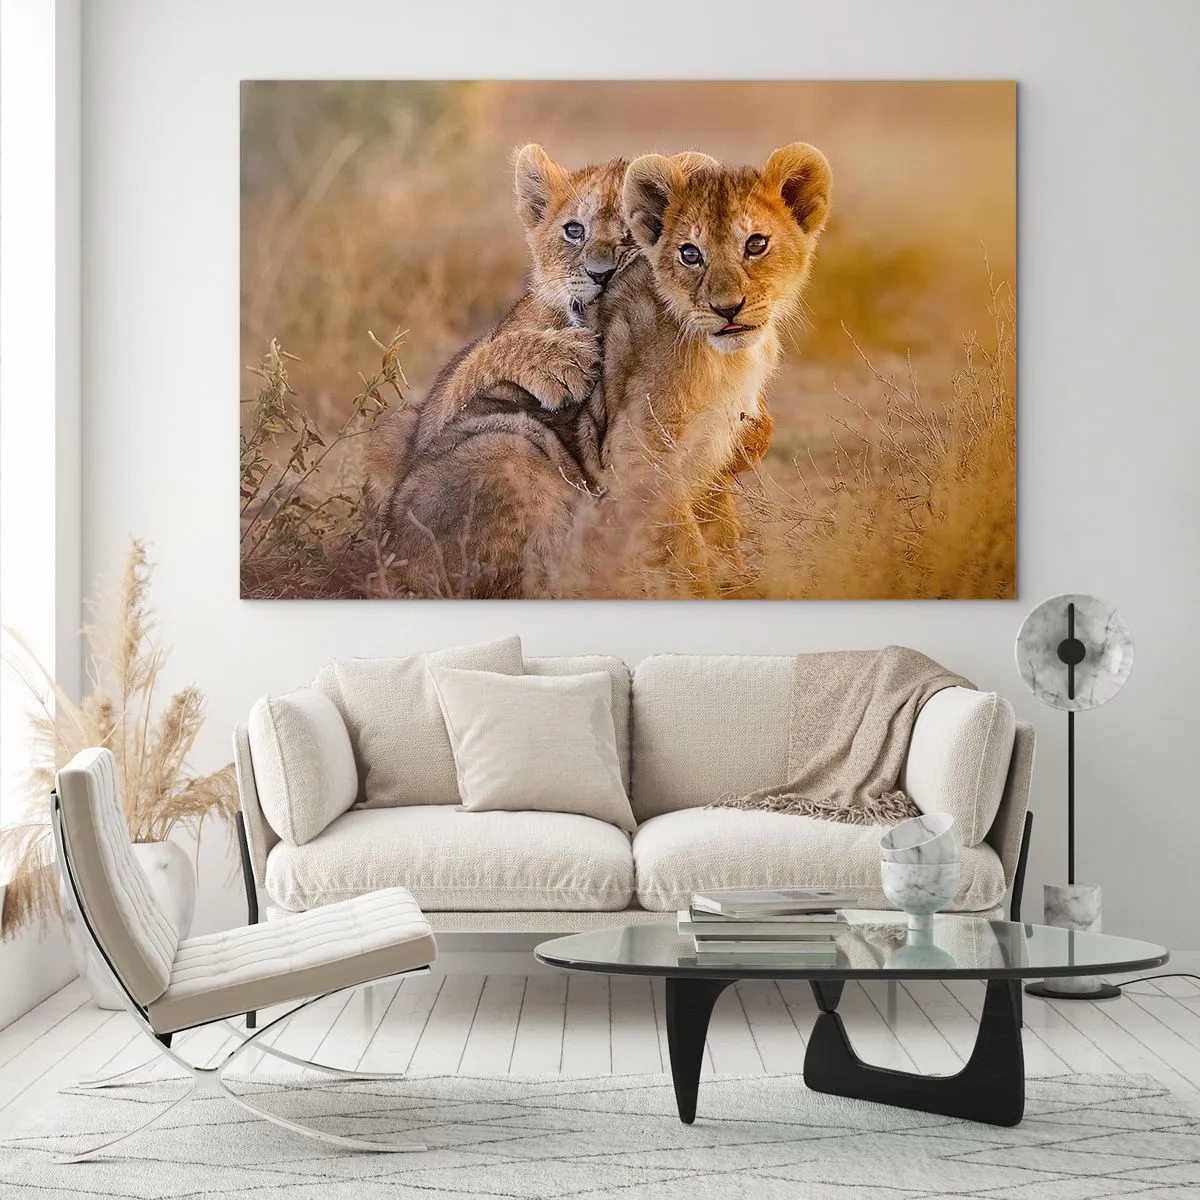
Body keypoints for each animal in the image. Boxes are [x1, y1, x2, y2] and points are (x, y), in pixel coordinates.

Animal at [560, 142, 833, 597]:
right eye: (690, 254)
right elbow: (683, 544)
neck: (726, 359)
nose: (727, 309)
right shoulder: (636, 454)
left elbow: (719, 524)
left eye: (756, 244)